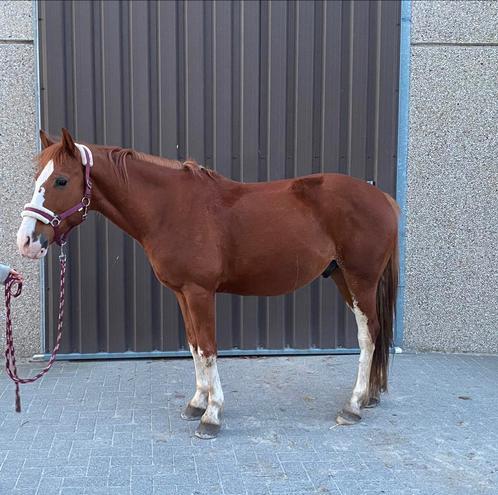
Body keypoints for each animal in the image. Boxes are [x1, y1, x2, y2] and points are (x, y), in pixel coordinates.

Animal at [16, 130, 400, 440]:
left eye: (61, 181)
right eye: (37, 177)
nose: (26, 241)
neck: (170, 208)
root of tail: (383, 198)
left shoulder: (200, 292)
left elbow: (210, 349)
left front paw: (212, 417)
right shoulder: (182, 293)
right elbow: (195, 347)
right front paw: (197, 403)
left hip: (360, 280)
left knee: (368, 335)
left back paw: (353, 405)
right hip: (342, 278)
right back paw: (368, 397)